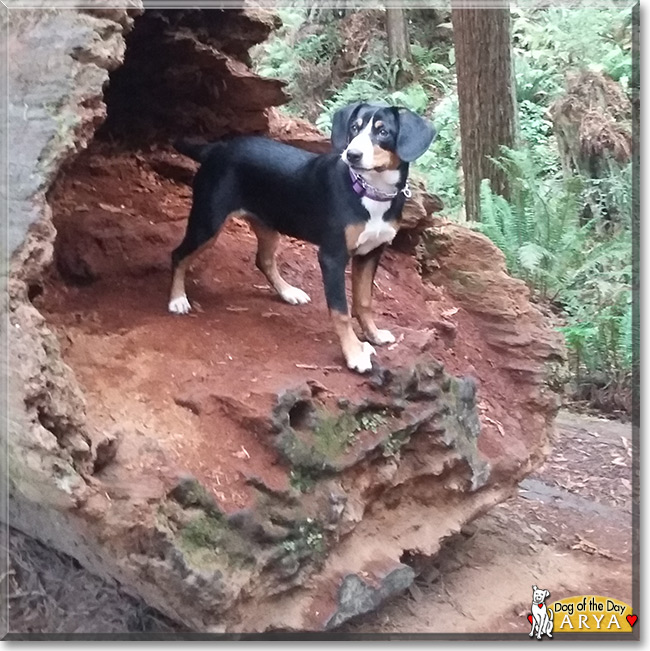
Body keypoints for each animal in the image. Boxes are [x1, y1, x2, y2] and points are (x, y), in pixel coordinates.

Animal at [170, 102, 432, 372]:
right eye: (354, 128)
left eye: (383, 132)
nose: (352, 155)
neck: (371, 191)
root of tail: (216, 147)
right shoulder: (333, 257)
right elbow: (341, 311)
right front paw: (354, 353)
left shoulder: (371, 253)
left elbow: (364, 302)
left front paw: (374, 335)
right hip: (207, 223)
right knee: (178, 255)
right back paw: (177, 299)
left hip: (268, 224)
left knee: (263, 260)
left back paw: (288, 292)